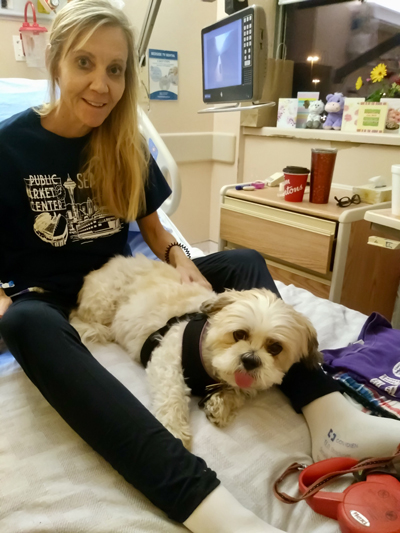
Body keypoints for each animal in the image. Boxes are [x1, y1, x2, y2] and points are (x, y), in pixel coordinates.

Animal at [71, 254, 322, 448]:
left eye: (275, 348)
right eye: (239, 334)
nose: (251, 360)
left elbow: (239, 389)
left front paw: (221, 404)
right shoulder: (168, 354)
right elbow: (172, 394)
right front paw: (175, 430)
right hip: (103, 302)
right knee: (79, 318)